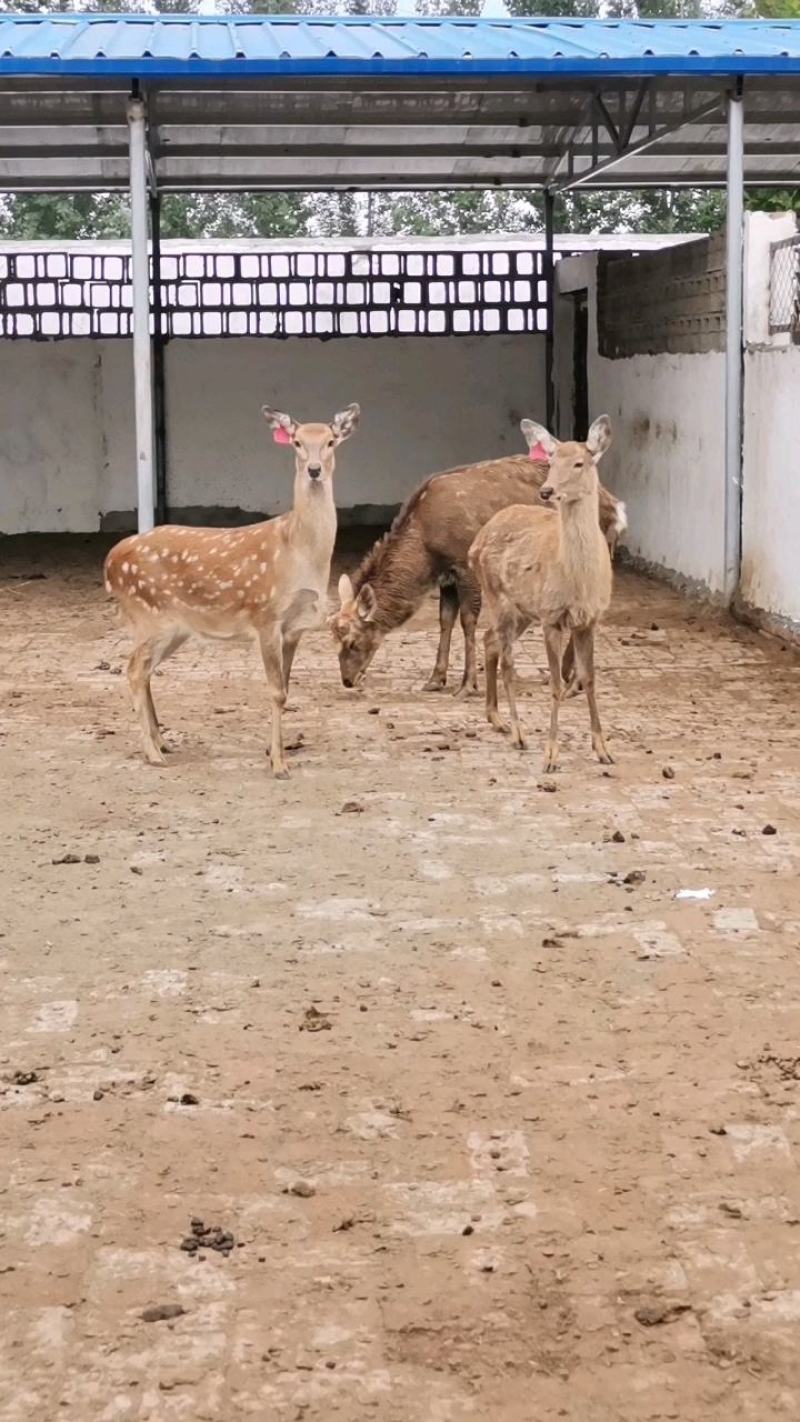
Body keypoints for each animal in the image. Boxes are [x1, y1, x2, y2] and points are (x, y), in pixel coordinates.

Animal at [103, 402, 360, 776]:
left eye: (330, 441)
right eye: (297, 442)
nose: (314, 470)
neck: (299, 552)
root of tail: (110, 561)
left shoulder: (294, 628)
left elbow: (286, 688)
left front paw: (273, 751)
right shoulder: (265, 616)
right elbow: (275, 691)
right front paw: (278, 764)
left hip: (173, 628)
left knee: (146, 670)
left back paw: (163, 741)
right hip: (150, 615)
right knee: (134, 669)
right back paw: (152, 753)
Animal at [329, 445, 626, 697]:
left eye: (353, 642)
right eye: (333, 639)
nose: (347, 680)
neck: (428, 549)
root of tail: (614, 508)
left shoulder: (465, 565)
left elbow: (468, 620)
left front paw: (467, 684)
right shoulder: (446, 577)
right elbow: (445, 620)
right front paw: (435, 679)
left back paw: (574, 682)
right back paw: (565, 676)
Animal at [468, 415, 615, 774]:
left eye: (579, 463)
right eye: (551, 461)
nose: (547, 490)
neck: (578, 580)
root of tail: (475, 542)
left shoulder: (590, 619)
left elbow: (589, 678)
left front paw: (602, 749)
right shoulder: (551, 616)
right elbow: (556, 683)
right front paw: (551, 754)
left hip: (522, 610)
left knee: (490, 640)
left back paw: (496, 719)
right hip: (498, 596)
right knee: (507, 661)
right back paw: (518, 733)